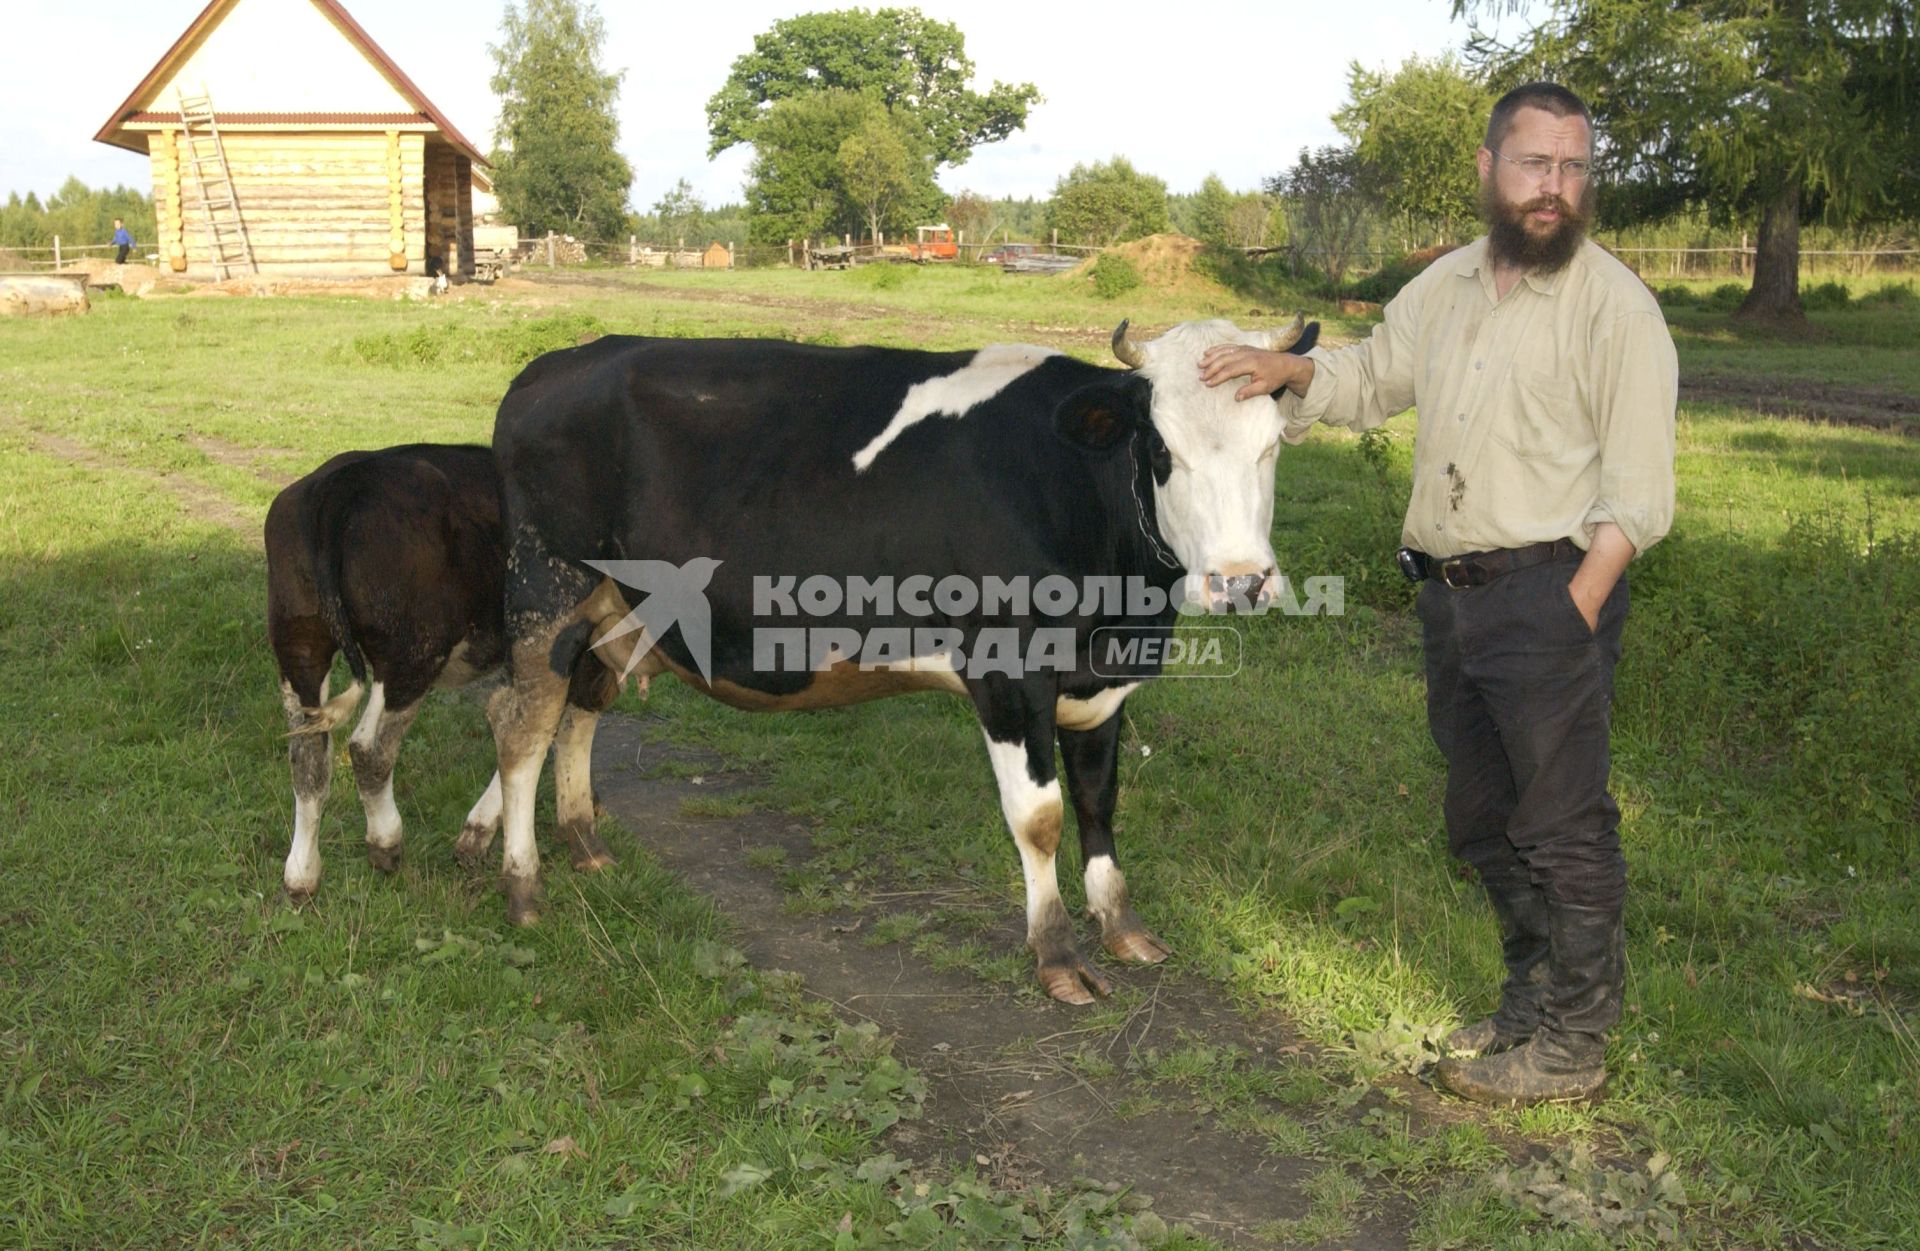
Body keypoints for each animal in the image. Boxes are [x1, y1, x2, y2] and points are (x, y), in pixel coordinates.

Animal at [263, 445, 618, 894]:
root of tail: (343, 481)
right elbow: (562, 722)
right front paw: (583, 836)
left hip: (300, 644)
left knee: (307, 754)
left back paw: (301, 874)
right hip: (412, 653)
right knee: (368, 747)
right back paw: (385, 841)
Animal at [487, 318, 1313, 1005]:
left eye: (1272, 446)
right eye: (1162, 450)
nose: (1241, 580)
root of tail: (560, 362)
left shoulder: (1102, 681)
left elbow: (1098, 800)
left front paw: (1120, 925)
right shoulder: (1008, 671)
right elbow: (1040, 817)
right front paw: (1056, 955)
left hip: (615, 606)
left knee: (579, 707)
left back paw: (584, 842)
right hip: (547, 586)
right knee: (522, 725)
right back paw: (524, 886)